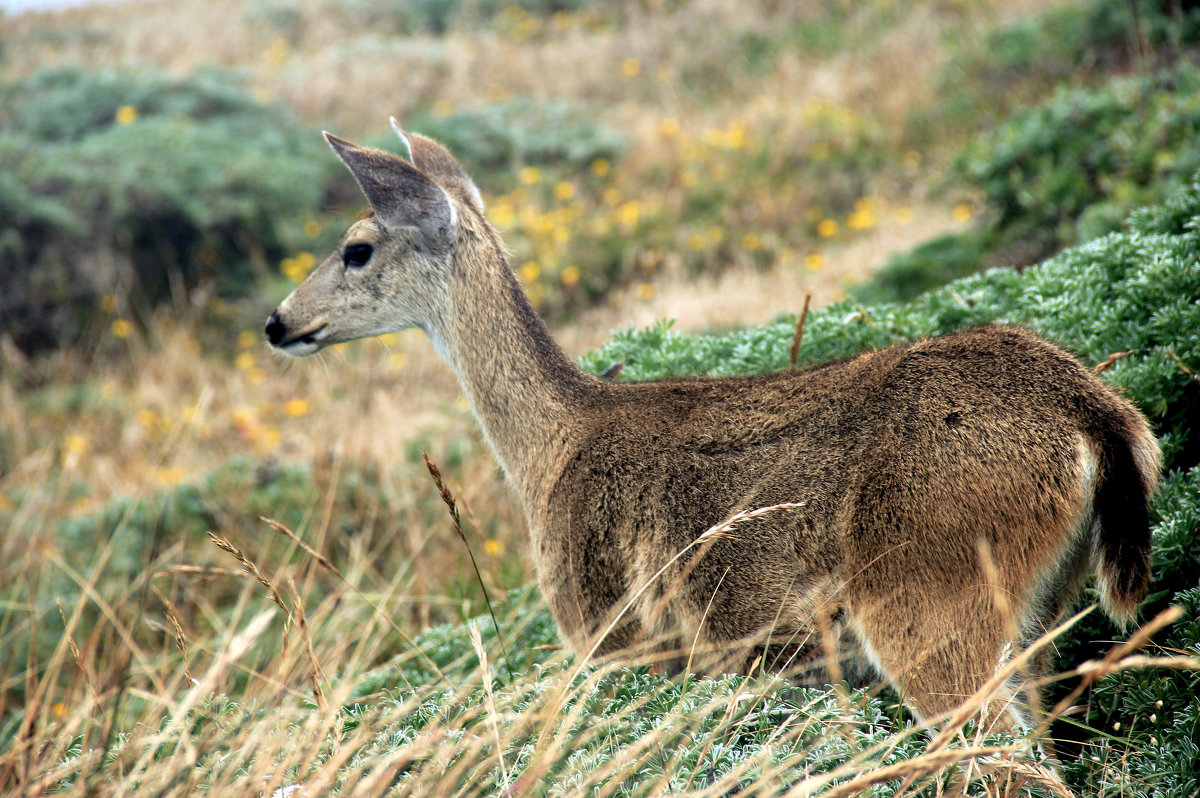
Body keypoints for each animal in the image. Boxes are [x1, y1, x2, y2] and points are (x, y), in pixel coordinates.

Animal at [265, 120, 1161, 734]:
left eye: (356, 248)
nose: (277, 322)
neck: (553, 448)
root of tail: (1098, 416)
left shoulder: (617, 638)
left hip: (932, 599)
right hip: (1041, 617)